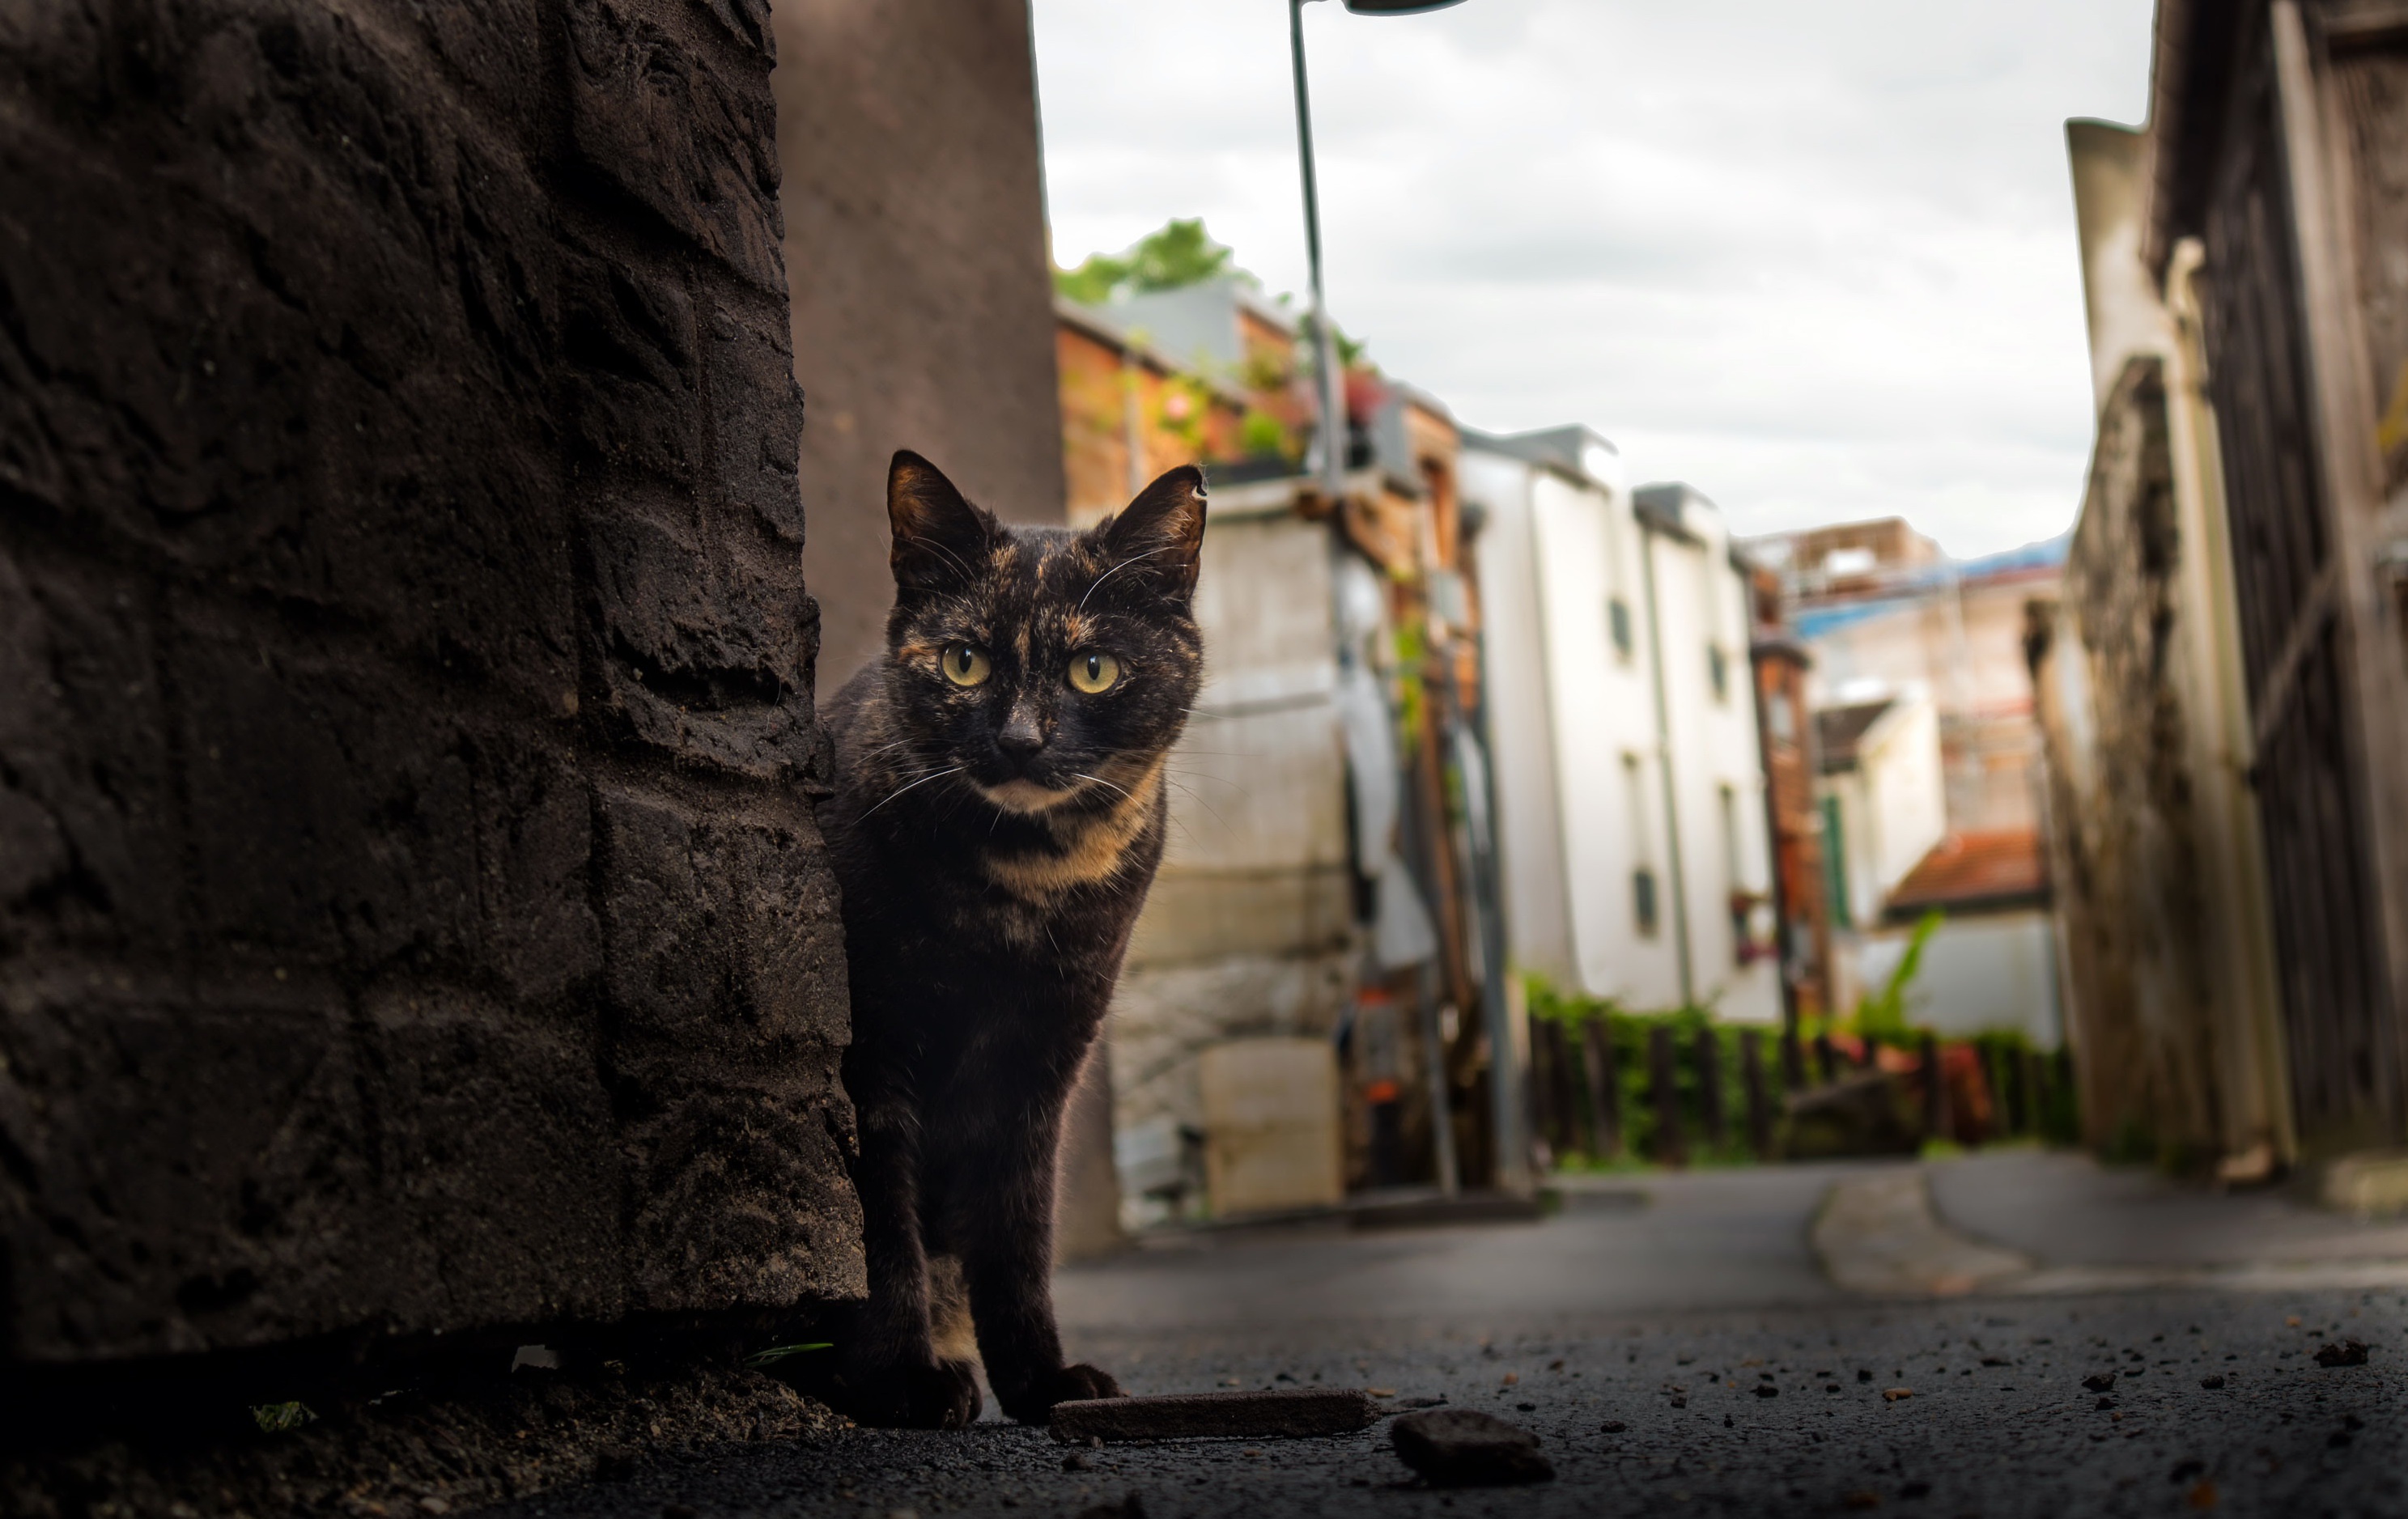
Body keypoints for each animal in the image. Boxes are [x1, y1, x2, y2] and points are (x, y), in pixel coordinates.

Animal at [813, 448, 1204, 1424]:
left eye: (1094, 668)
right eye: (964, 661)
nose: (1023, 739)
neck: (1024, 885)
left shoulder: (1039, 1063)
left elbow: (1017, 1231)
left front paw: (1043, 1380)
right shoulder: (873, 1053)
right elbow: (883, 1232)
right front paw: (904, 1380)